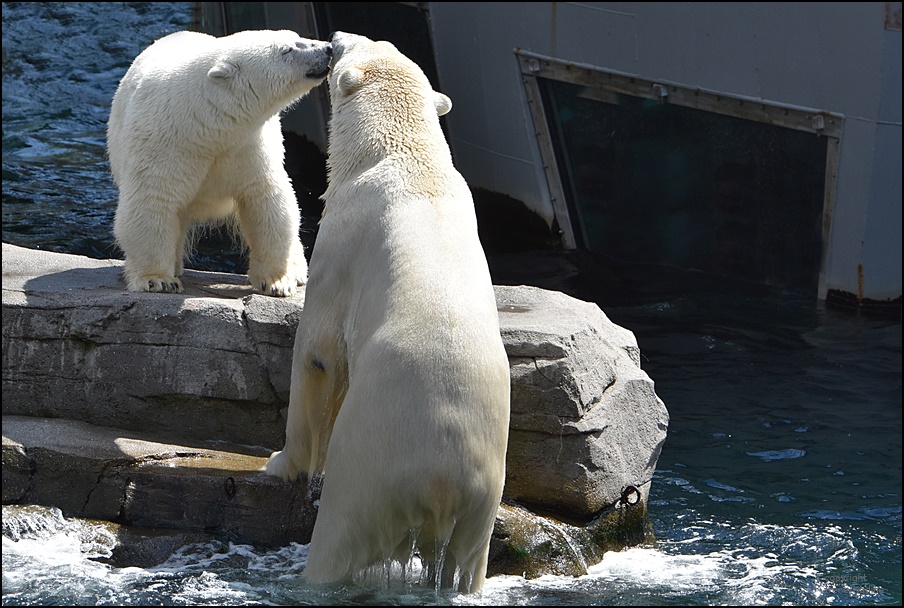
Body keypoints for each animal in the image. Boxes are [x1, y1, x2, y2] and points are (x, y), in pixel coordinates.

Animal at [107, 29, 332, 296]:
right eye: (286, 49)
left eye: (296, 36)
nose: (328, 48)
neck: (206, 125)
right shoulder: (165, 145)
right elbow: (152, 200)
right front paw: (158, 280)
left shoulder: (247, 146)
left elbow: (267, 201)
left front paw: (277, 281)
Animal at [264, 30, 512, 592]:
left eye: (353, 44)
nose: (334, 36)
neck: (409, 157)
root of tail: (443, 481)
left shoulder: (342, 240)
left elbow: (317, 353)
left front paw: (279, 461)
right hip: (483, 498)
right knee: (468, 562)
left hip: (370, 469)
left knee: (337, 537)